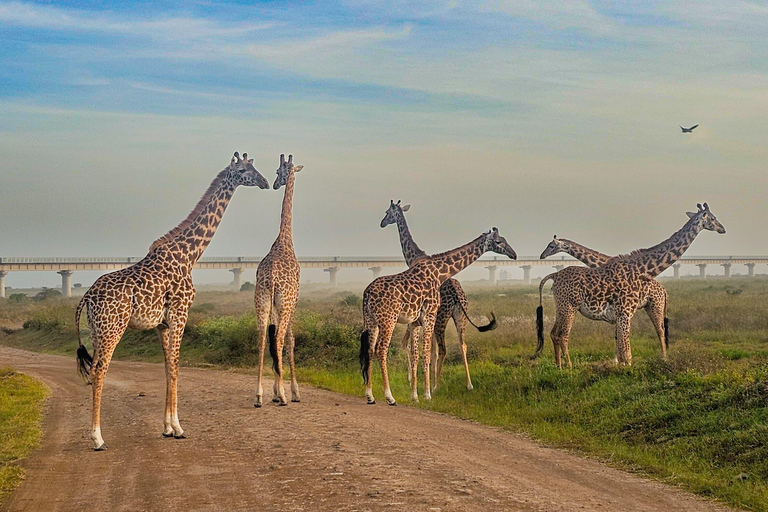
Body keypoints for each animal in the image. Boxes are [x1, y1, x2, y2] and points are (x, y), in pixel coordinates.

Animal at [75, 152, 269, 450]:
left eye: (254, 166)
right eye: (245, 171)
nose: (265, 182)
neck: (189, 255)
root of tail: (87, 296)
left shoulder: (162, 324)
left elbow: (168, 367)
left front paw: (167, 427)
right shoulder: (180, 313)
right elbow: (177, 366)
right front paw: (178, 428)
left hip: (97, 330)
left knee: (95, 369)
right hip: (112, 329)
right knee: (98, 371)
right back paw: (98, 438)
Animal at [360, 228, 516, 405]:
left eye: (504, 239)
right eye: (498, 242)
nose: (514, 254)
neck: (440, 272)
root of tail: (367, 294)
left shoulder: (416, 322)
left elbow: (418, 354)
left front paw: (415, 395)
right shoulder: (430, 316)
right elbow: (427, 353)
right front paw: (427, 394)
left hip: (371, 321)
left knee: (370, 349)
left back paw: (370, 396)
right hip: (388, 320)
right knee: (381, 350)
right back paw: (390, 397)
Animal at [379, 200, 496, 391]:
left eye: (387, 212)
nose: (382, 223)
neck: (414, 257)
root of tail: (457, 293)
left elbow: (418, 347)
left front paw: (417, 380)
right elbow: (429, 350)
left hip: (443, 317)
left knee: (443, 349)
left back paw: (436, 386)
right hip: (459, 316)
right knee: (462, 345)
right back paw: (469, 384)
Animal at [539, 235, 670, 358]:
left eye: (551, 245)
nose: (542, 256)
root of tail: (664, 291)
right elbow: (618, 336)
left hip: (656, 305)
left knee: (660, 329)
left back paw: (664, 356)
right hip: (649, 306)